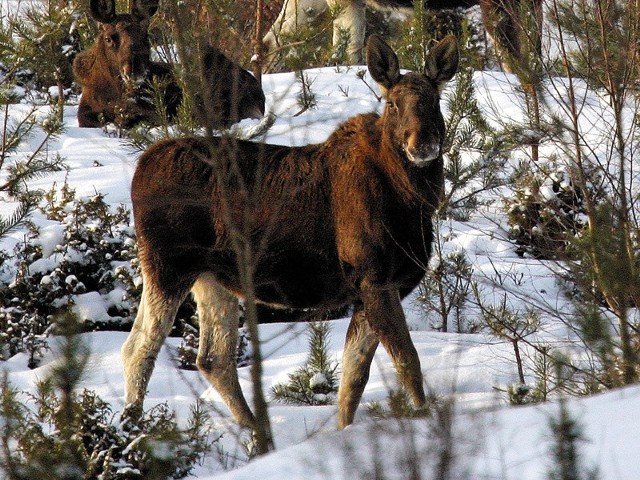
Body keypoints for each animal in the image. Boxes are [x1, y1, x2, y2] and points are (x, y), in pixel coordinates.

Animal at [122, 33, 458, 432]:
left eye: (435, 101)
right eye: (392, 103)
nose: (422, 144)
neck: (412, 203)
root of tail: (141, 166)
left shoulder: (366, 291)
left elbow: (352, 380)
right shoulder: (374, 278)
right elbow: (407, 362)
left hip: (212, 277)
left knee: (213, 358)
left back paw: (255, 431)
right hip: (166, 266)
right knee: (139, 348)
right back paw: (133, 428)